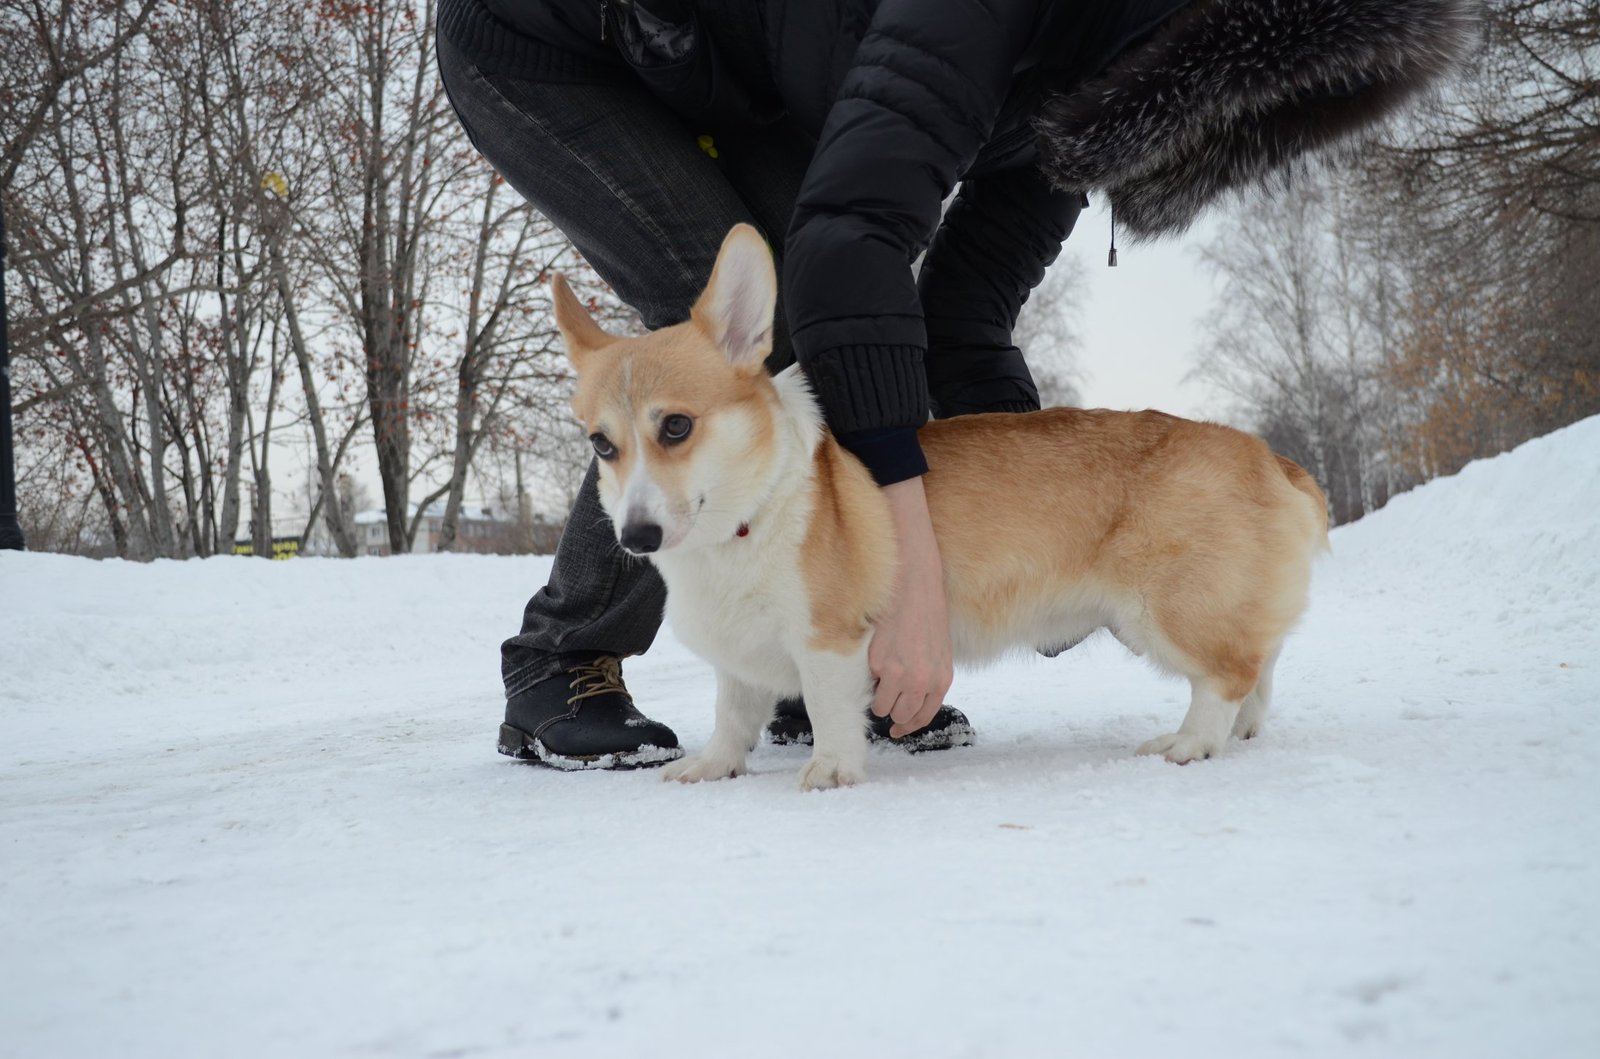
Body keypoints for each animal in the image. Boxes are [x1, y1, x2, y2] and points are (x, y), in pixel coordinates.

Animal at [550, 225, 1324, 787]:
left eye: (677, 426)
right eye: (601, 444)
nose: (638, 535)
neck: (750, 516)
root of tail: (1272, 458)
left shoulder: (833, 641)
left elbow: (829, 710)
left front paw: (829, 772)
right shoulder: (738, 663)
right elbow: (731, 716)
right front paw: (711, 767)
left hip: (1164, 612)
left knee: (1228, 675)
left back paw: (1189, 743)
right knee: (1259, 665)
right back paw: (1238, 733)